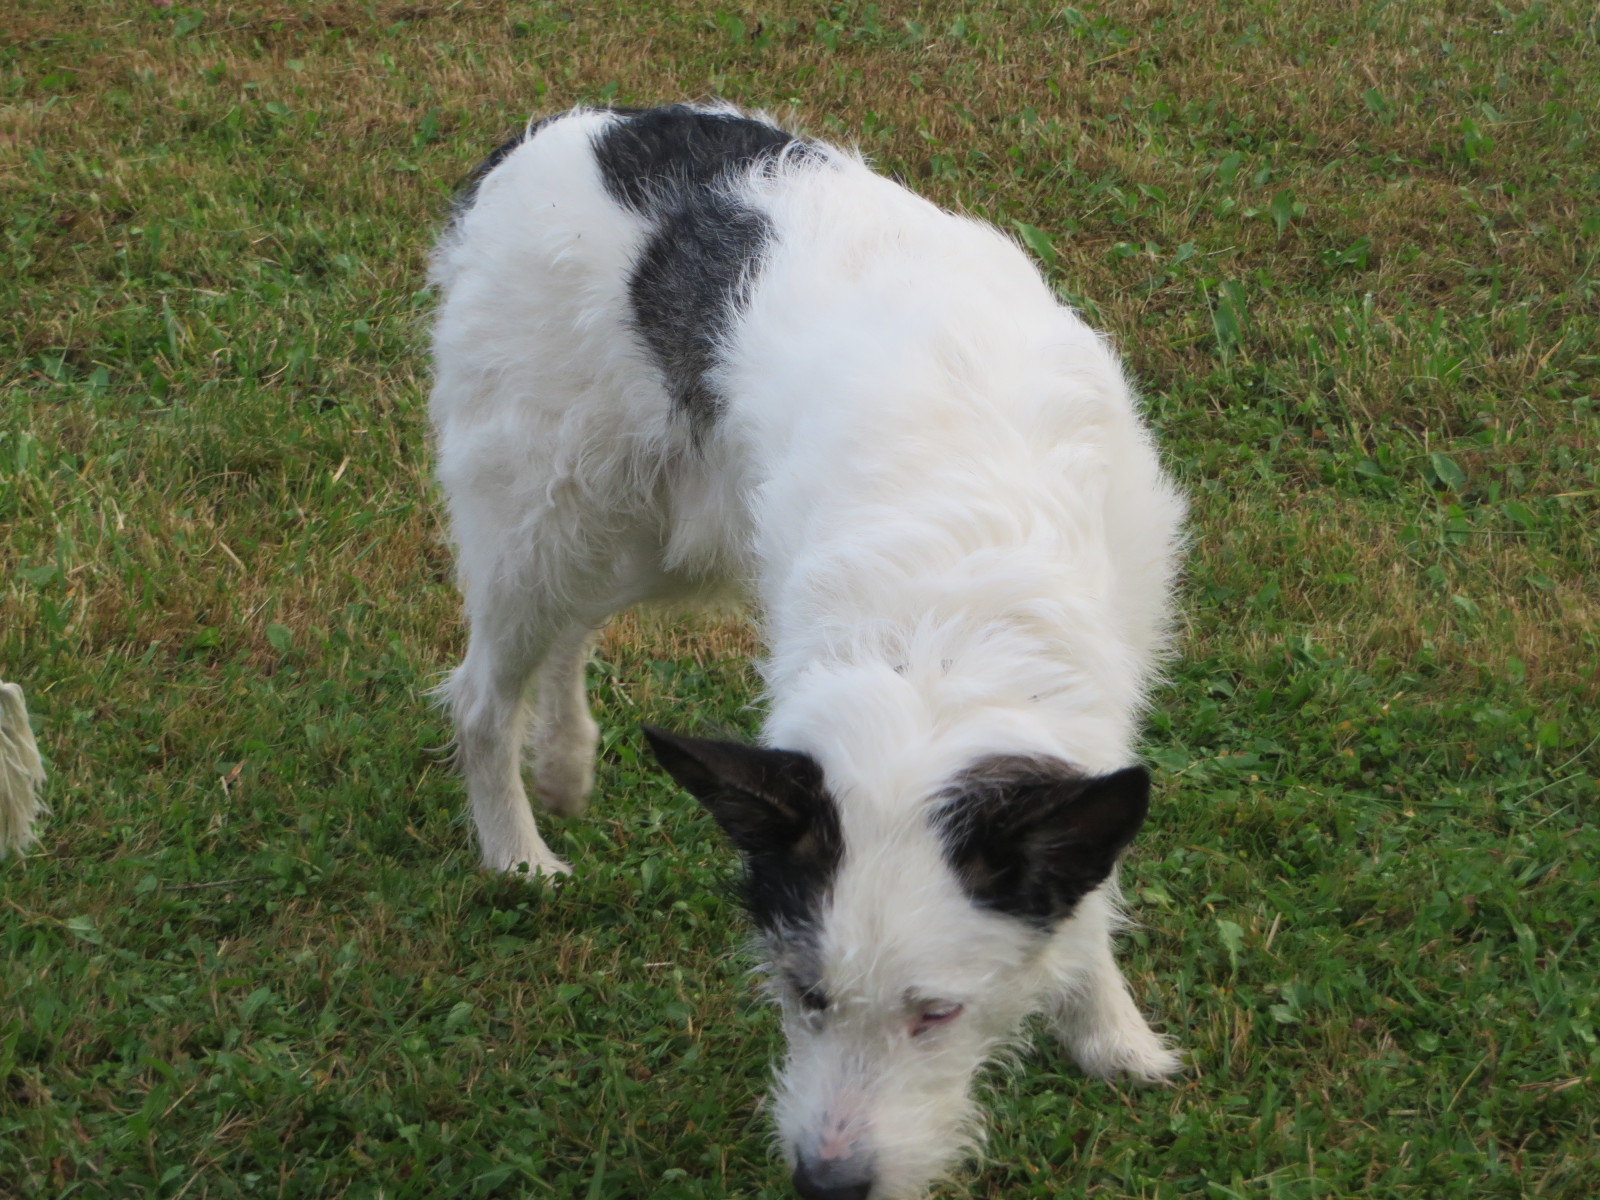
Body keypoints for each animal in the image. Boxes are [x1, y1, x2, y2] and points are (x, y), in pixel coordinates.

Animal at [428, 103, 1185, 1200]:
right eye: (804, 994)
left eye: (938, 1013)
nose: (827, 1184)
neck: (937, 645)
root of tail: (558, 132)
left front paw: (1110, 1031)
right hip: (546, 514)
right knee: (483, 692)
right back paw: (519, 853)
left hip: (653, 531)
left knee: (568, 632)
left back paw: (564, 763)